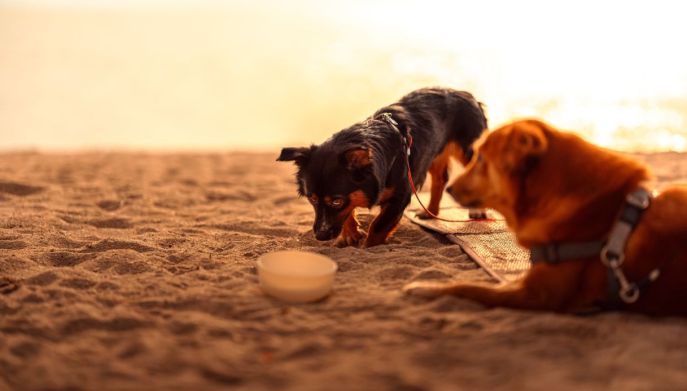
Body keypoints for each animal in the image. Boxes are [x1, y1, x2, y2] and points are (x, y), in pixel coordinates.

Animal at [276, 88, 486, 248]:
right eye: (311, 199)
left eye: (336, 201)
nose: (320, 236)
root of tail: (467, 94)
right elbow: (349, 212)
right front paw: (350, 234)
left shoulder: (400, 196)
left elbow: (378, 226)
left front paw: (368, 248)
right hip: (435, 153)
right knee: (440, 179)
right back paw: (429, 212)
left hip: (470, 151)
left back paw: (477, 212)